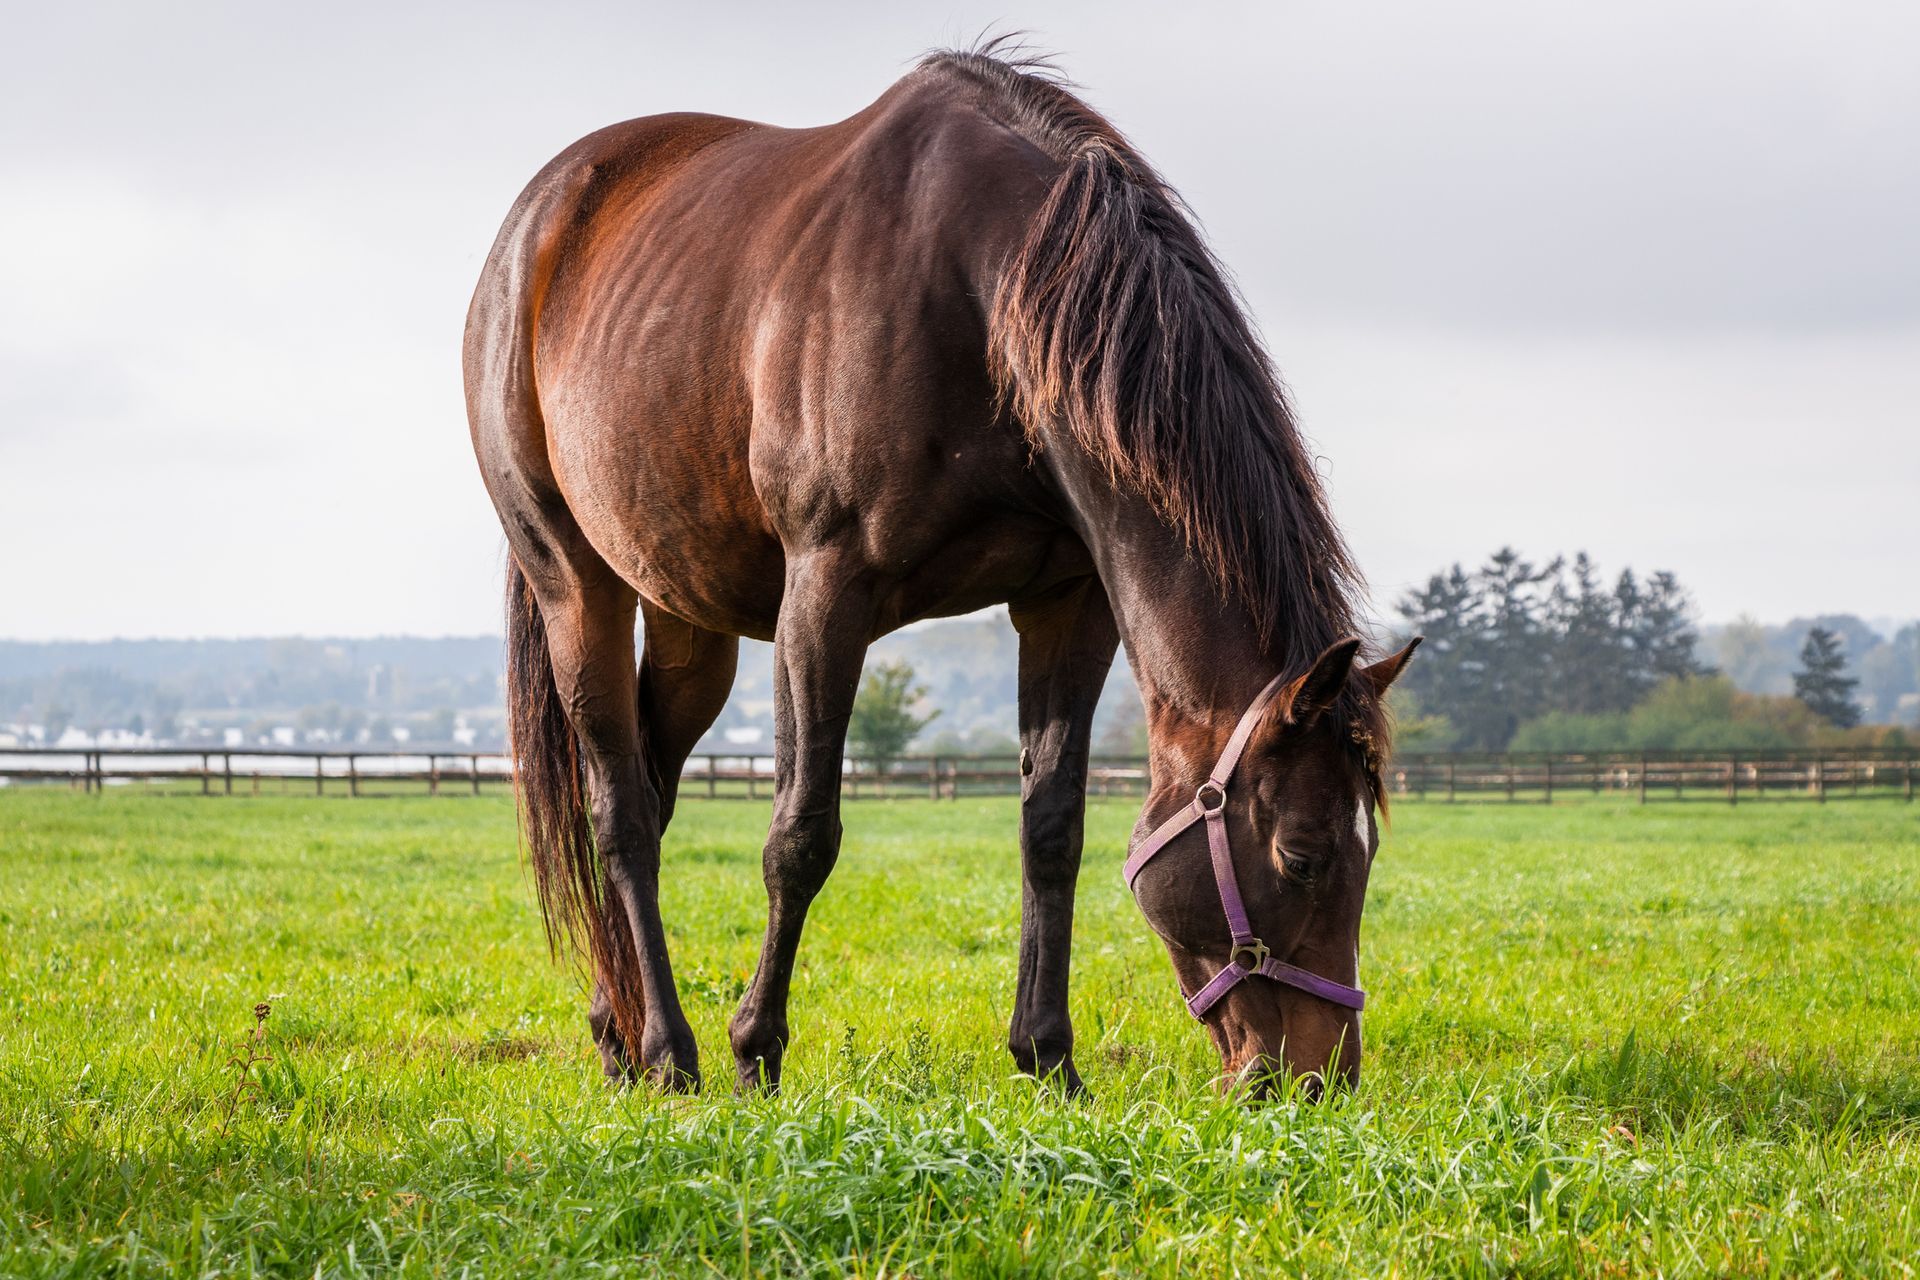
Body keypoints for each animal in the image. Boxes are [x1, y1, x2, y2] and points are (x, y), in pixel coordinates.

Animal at [464, 42, 1417, 1098]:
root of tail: (540, 218)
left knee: (653, 791)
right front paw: (757, 1046)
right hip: (575, 585)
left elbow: (1053, 829)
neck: (985, 291)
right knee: (620, 813)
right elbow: (801, 834)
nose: (1317, 1079)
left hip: (687, 622)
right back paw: (671, 1052)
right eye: (1301, 857)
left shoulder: (1068, 605)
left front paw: (1048, 1058)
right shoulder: (824, 598)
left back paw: (618, 1030)